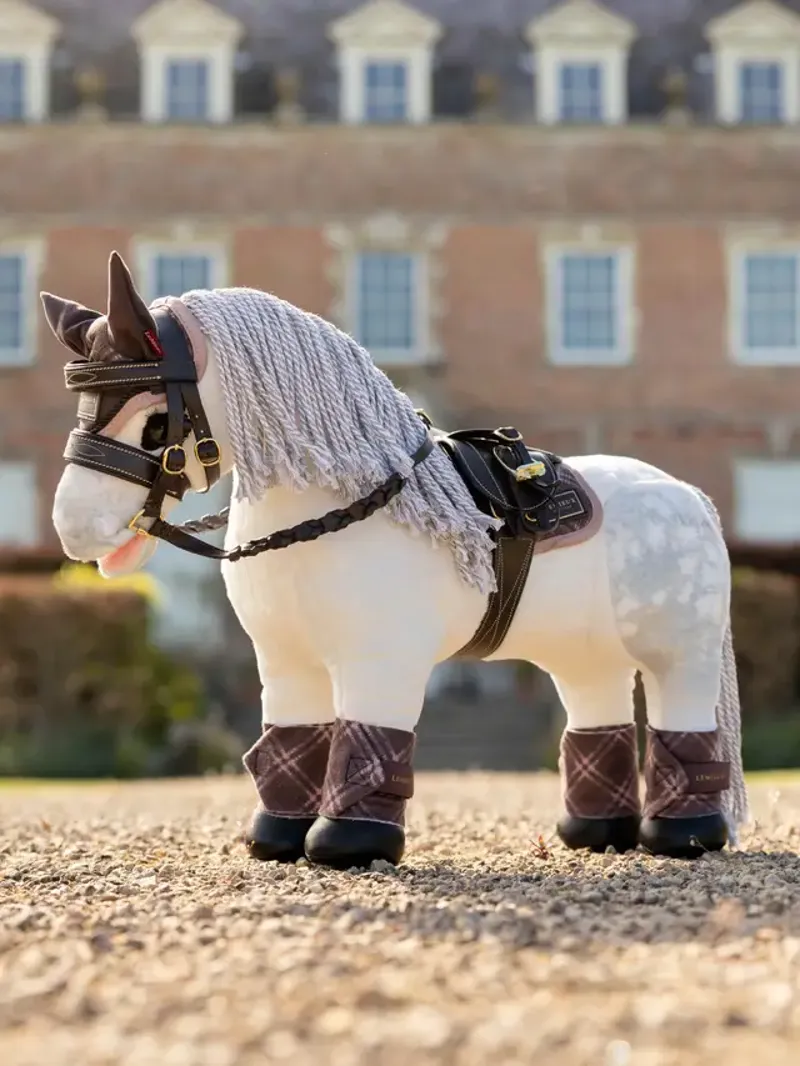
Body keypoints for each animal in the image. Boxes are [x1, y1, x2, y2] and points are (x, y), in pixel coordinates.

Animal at [40, 251, 749, 869]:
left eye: (156, 424)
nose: (74, 527)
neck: (344, 502)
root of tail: (690, 496)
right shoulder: (285, 660)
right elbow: (292, 742)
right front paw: (277, 841)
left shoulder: (381, 657)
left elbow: (370, 739)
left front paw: (347, 847)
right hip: (585, 653)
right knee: (596, 715)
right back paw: (595, 835)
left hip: (679, 652)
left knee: (684, 721)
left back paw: (682, 836)